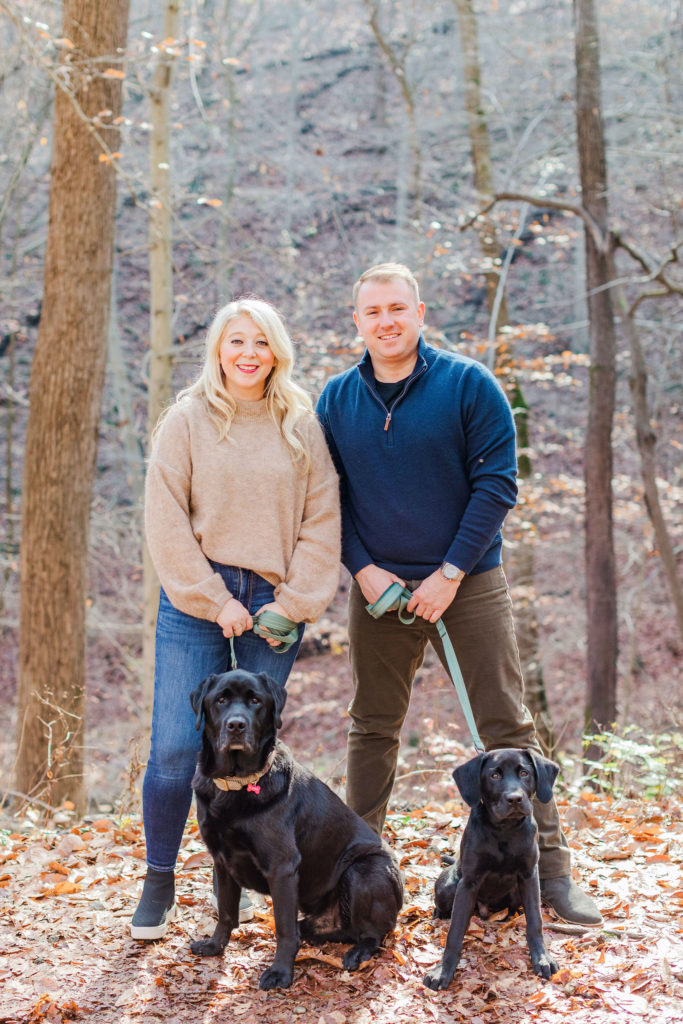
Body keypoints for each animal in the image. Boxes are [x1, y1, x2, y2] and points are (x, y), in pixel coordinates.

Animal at [187, 667, 403, 987]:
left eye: (255, 700)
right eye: (221, 700)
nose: (236, 725)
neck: (237, 784)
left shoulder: (282, 866)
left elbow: (284, 929)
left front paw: (280, 972)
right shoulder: (222, 860)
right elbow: (226, 912)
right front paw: (215, 946)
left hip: (364, 870)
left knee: (373, 934)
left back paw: (357, 953)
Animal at [428, 745, 561, 991]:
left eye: (525, 773)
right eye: (495, 775)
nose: (515, 799)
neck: (504, 830)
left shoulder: (530, 876)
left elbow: (535, 922)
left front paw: (542, 958)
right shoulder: (468, 883)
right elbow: (455, 932)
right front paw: (443, 971)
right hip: (449, 887)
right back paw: (439, 913)